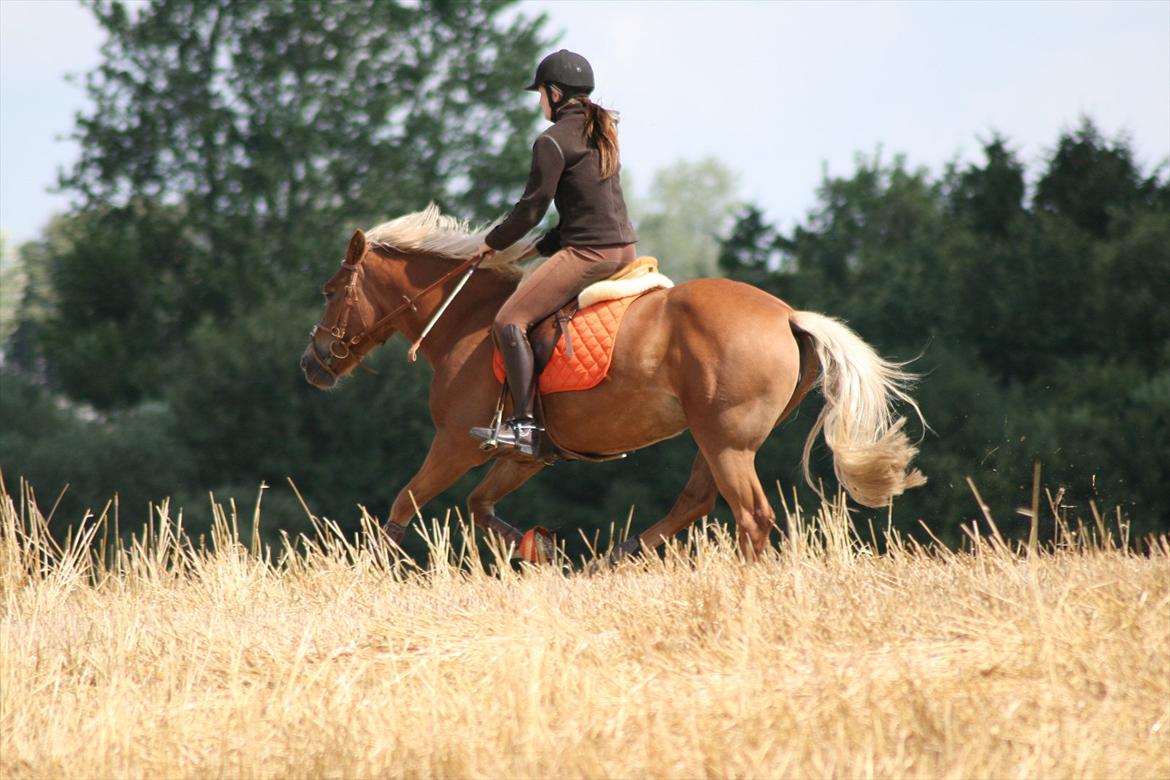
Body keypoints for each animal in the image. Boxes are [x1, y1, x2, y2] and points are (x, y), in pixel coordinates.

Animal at [299, 206, 921, 561]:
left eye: (330, 292)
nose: (312, 364)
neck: (466, 321)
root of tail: (787, 315)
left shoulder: (456, 443)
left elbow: (404, 503)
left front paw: (369, 572)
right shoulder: (524, 456)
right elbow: (479, 505)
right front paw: (541, 549)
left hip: (726, 441)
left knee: (750, 518)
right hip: (716, 439)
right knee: (695, 503)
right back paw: (614, 558)